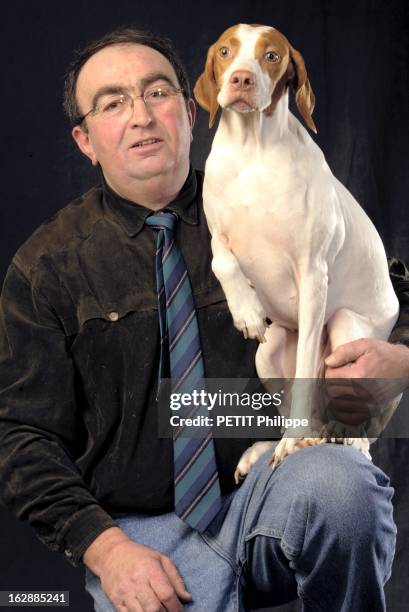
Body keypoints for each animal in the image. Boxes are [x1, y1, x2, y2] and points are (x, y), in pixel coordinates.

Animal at [194, 23, 398, 476]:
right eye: (225, 51)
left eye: (271, 56)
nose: (241, 79)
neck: (252, 152)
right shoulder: (217, 235)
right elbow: (222, 261)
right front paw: (247, 310)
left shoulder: (312, 274)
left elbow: (306, 365)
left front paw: (292, 444)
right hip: (268, 353)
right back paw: (268, 447)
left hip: (346, 333)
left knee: (359, 424)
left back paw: (344, 440)